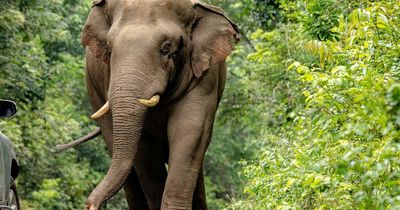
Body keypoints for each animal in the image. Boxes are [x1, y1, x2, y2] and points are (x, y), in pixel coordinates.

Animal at [79, 0, 239, 209]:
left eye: (165, 49)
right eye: (109, 48)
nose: (90, 204)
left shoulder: (205, 74)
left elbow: (190, 129)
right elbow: (144, 145)